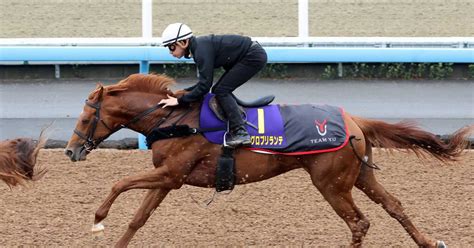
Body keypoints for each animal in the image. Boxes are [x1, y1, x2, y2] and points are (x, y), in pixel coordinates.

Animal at [64, 73, 470, 248]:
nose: (70, 150)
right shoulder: (166, 178)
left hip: (331, 183)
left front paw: (98, 218)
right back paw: (429, 242)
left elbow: (119, 183)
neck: (174, 120)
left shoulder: (172, 175)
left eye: (83, 119)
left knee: (360, 222)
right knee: (394, 206)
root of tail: (355, 119)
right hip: (359, 177)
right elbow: (139, 218)